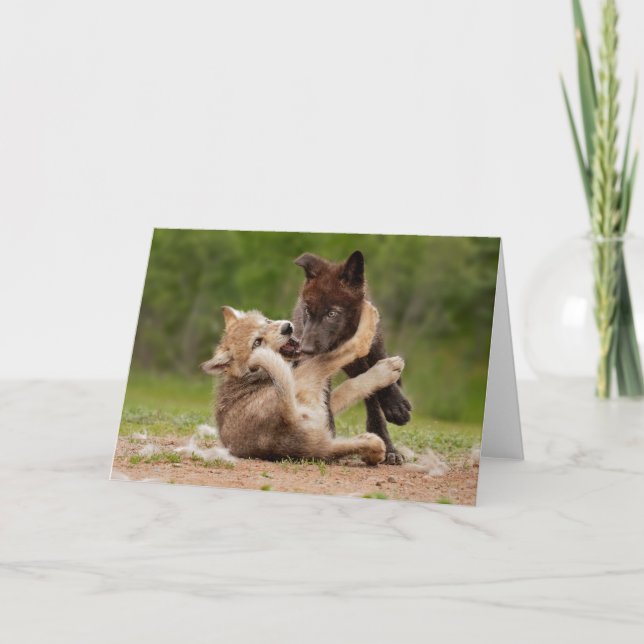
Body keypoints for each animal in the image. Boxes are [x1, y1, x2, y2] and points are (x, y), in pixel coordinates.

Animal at [201, 302, 405, 464]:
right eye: (257, 343)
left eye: (267, 321)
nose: (287, 328)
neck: (251, 376)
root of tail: (286, 418)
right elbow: (351, 381)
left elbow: (345, 391)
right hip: (310, 374)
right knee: (353, 348)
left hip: (322, 438)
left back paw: (373, 446)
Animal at [292, 250, 412, 464]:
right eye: (307, 310)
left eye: (332, 313)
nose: (304, 349)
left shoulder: (374, 342)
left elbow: (381, 371)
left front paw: (395, 405)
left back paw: (388, 445)